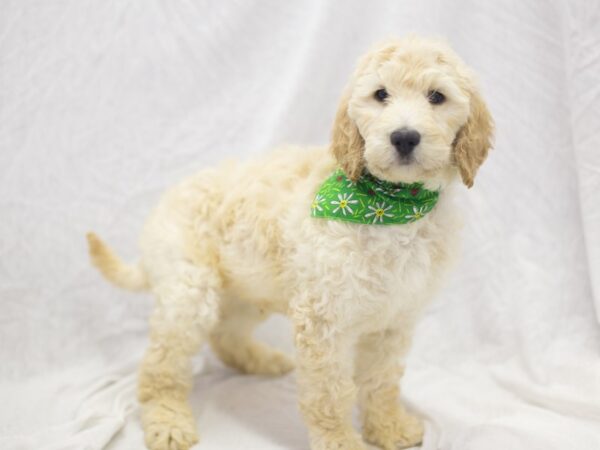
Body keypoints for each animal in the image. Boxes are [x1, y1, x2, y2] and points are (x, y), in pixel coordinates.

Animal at [88, 36, 492, 450]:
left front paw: (389, 426)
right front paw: (341, 441)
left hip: (249, 288)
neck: (390, 209)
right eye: (381, 94)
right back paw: (168, 419)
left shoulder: (395, 318)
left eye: (437, 96)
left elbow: (381, 380)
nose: (404, 137)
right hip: (189, 292)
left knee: (225, 335)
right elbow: (330, 392)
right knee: (161, 365)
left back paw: (260, 361)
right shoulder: (323, 319)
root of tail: (161, 207)